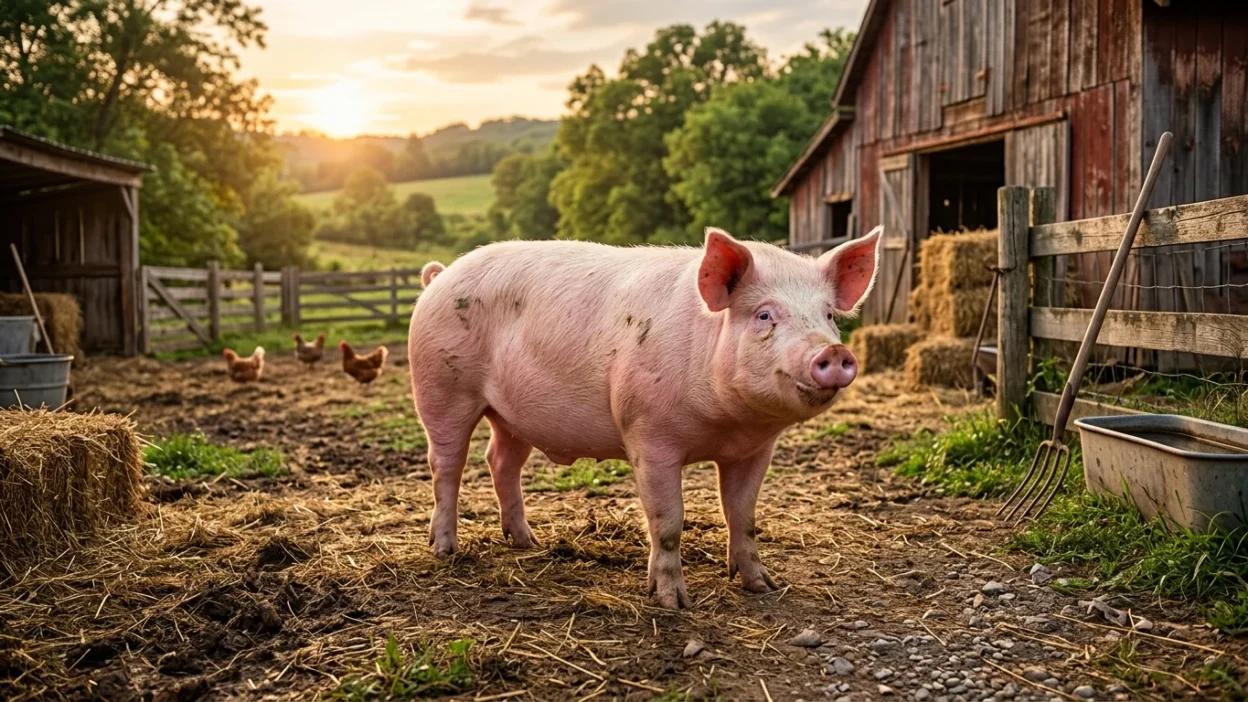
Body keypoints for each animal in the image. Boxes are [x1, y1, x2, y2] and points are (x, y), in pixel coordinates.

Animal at [408, 226, 883, 608]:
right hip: (440, 389)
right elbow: (668, 519)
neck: (726, 426)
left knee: (500, 461)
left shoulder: (754, 450)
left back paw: (527, 541)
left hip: (511, 416)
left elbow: (744, 516)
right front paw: (673, 603)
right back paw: (445, 550)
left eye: (828, 315)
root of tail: (439, 278)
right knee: (446, 465)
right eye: (765, 314)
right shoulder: (648, 434)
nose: (833, 351)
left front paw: (762, 586)